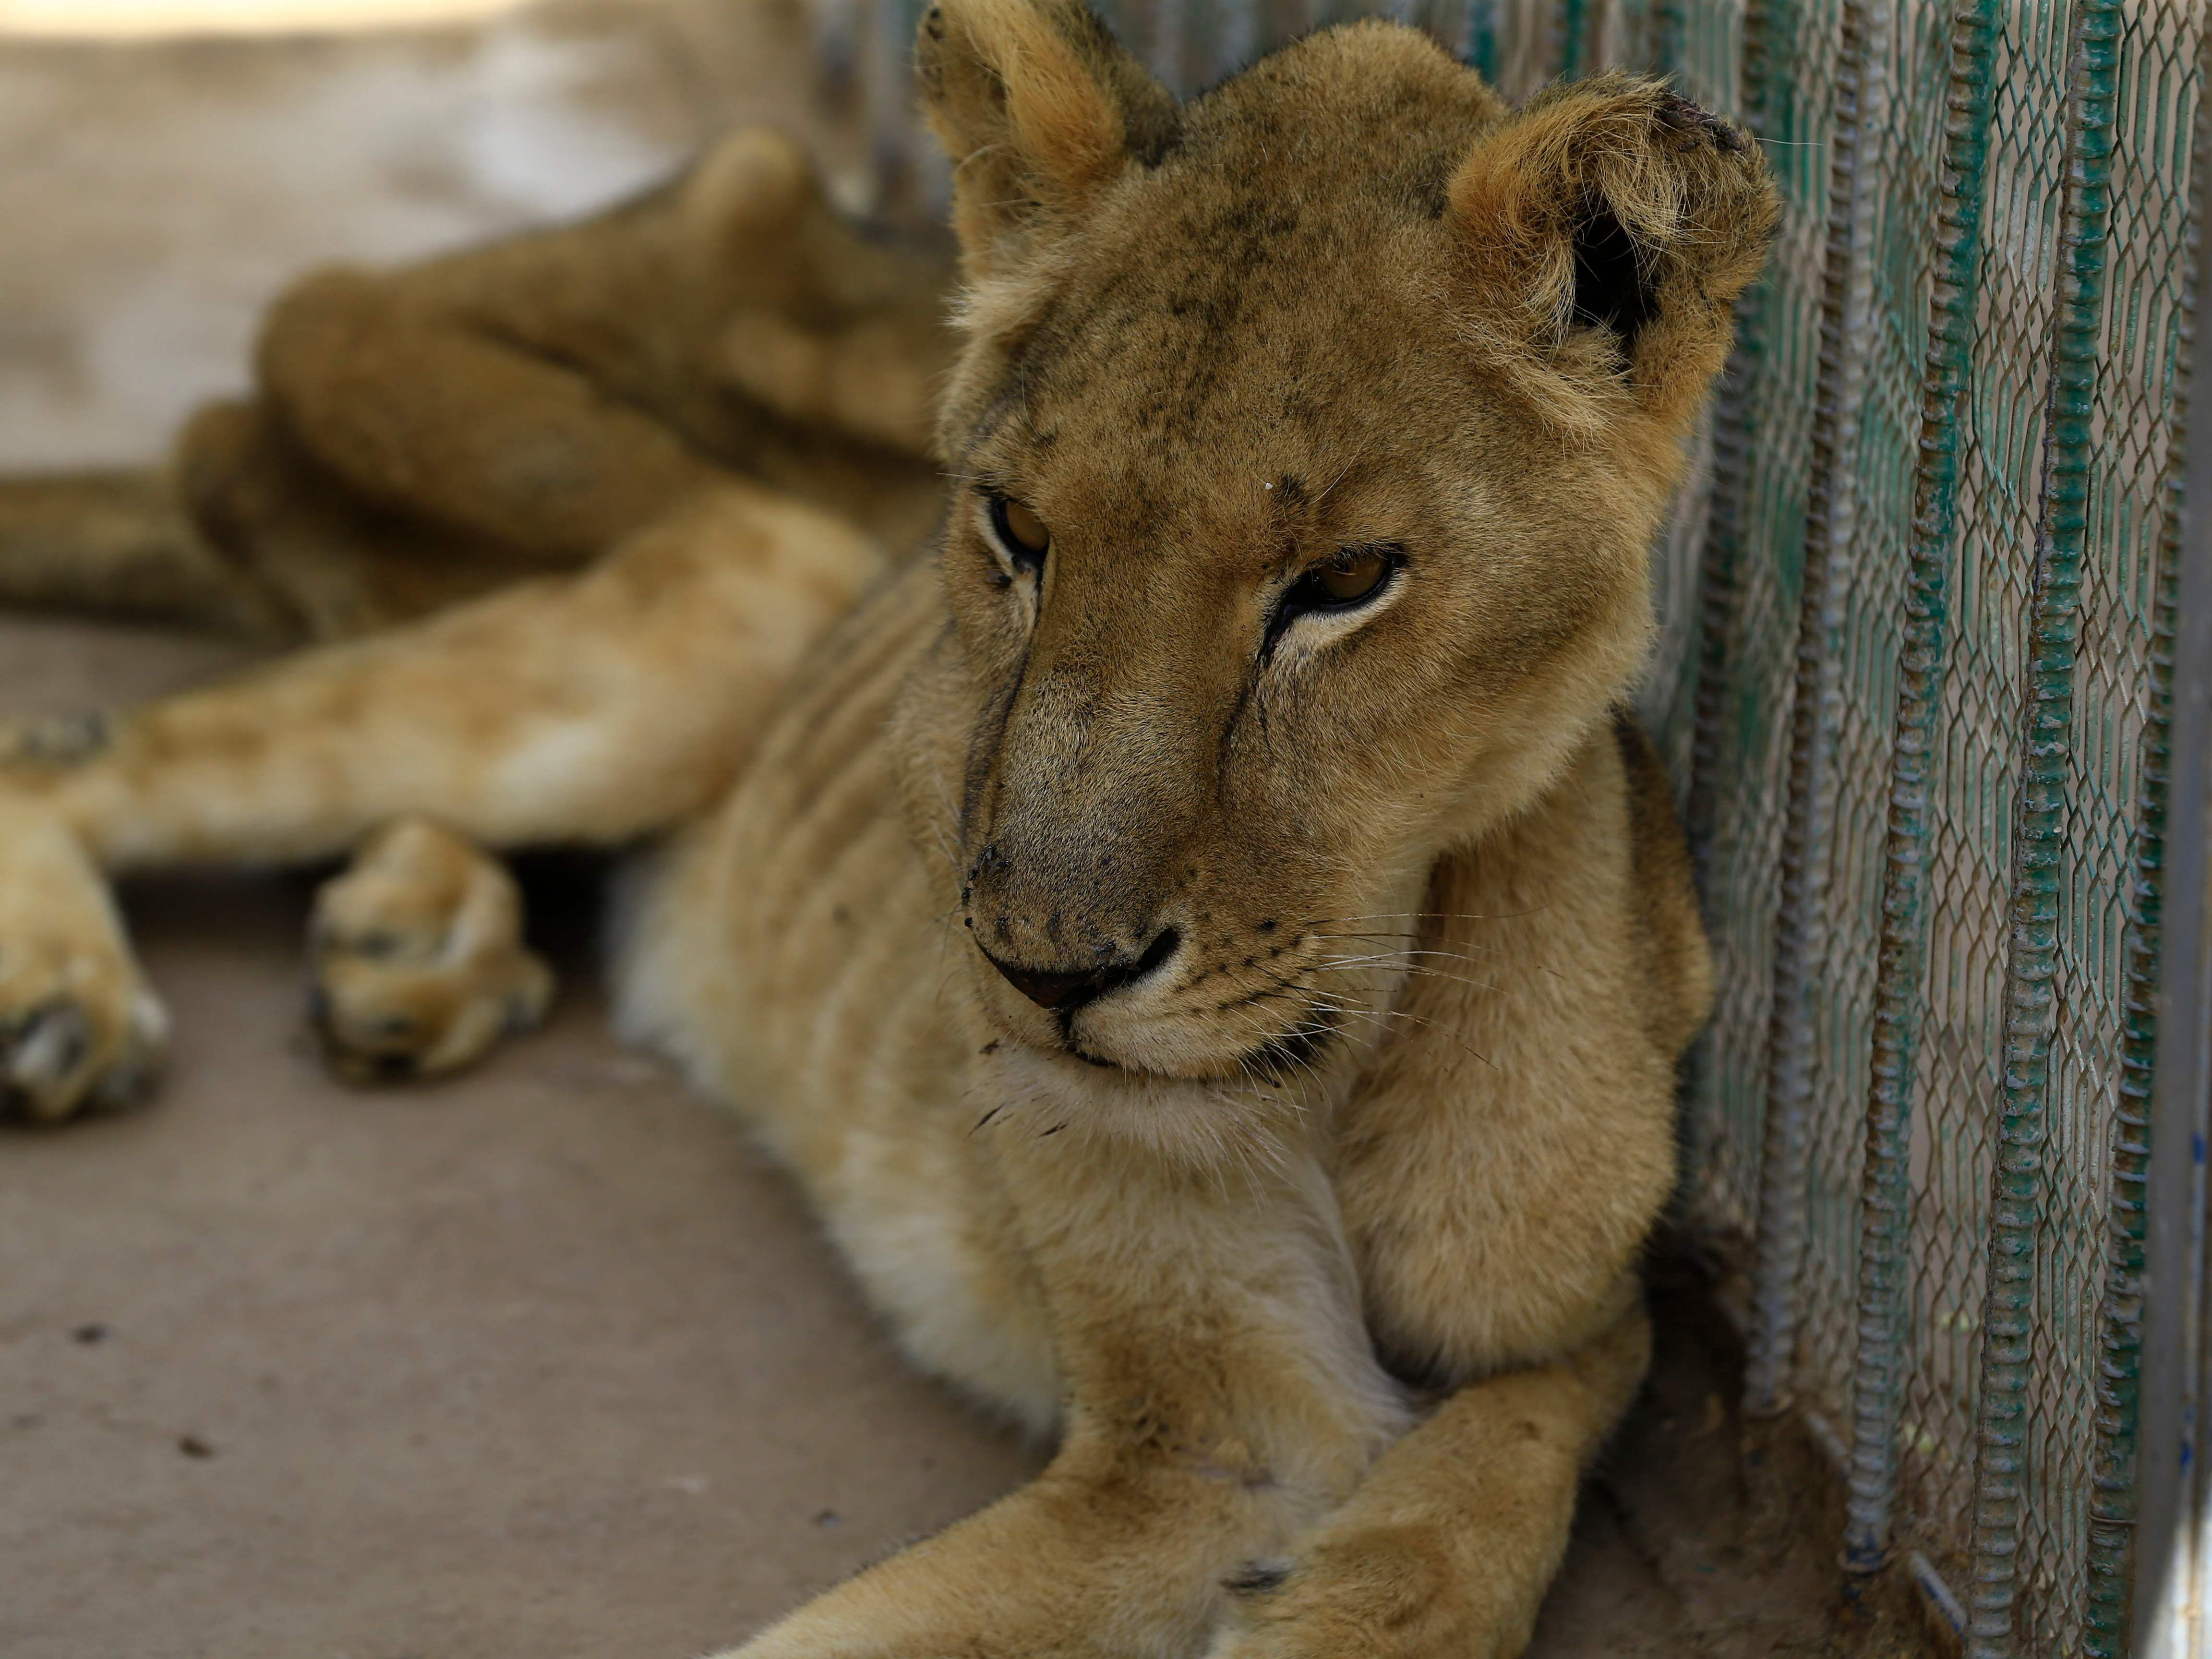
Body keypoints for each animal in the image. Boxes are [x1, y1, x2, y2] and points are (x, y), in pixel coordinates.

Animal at [0, 3, 1769, 1654]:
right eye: (1016, 529)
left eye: (1343, 580)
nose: (1042, 976)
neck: (1365, 1047)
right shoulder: (1208, 1442)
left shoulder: (1577, 1307)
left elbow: (1520, 1435)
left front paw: (1355, 1596)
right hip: (736, 563)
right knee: (72, 747)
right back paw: (78, 1001)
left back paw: (410, 948)